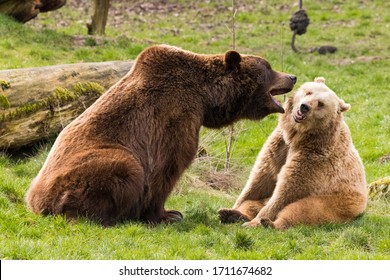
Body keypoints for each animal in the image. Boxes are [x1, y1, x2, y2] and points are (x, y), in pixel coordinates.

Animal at [25, 44, 296, 226]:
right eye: (268, 68)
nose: (292, 76)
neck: (205, 97)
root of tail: (35, 202)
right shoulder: (173, 115)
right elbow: (167, 166)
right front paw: (168, 214)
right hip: (86, 171)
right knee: (124, 167)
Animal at [218, 77, 368, 230]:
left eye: (321, 103)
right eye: (308, 92)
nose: (304, 107)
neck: (297, 135)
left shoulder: (313, 156)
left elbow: (287, 189)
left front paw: (255, 222)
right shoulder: (279, 146)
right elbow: (260, 179)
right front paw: (232, 207)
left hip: (336, 202)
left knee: (302, 210)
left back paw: (269, 223)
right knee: (252, 204)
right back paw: (231, 214)